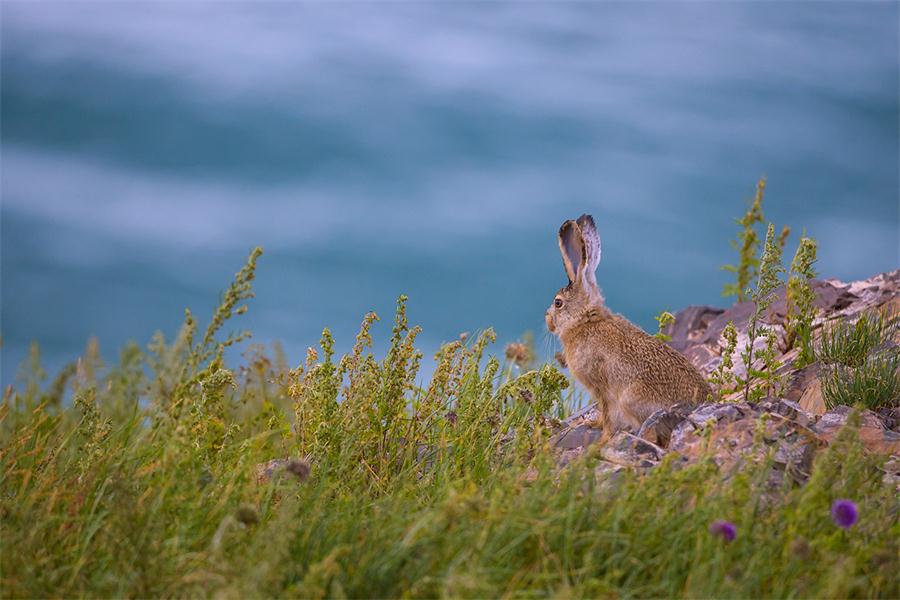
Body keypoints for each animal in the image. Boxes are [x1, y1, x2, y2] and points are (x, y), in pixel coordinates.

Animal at [545, 214, 711, 441]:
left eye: (558, 303)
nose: (548, 321)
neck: (585, 321)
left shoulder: (603, 388)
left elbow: (608, 415)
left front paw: (602, 439)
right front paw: (592, 424)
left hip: (629, 399)